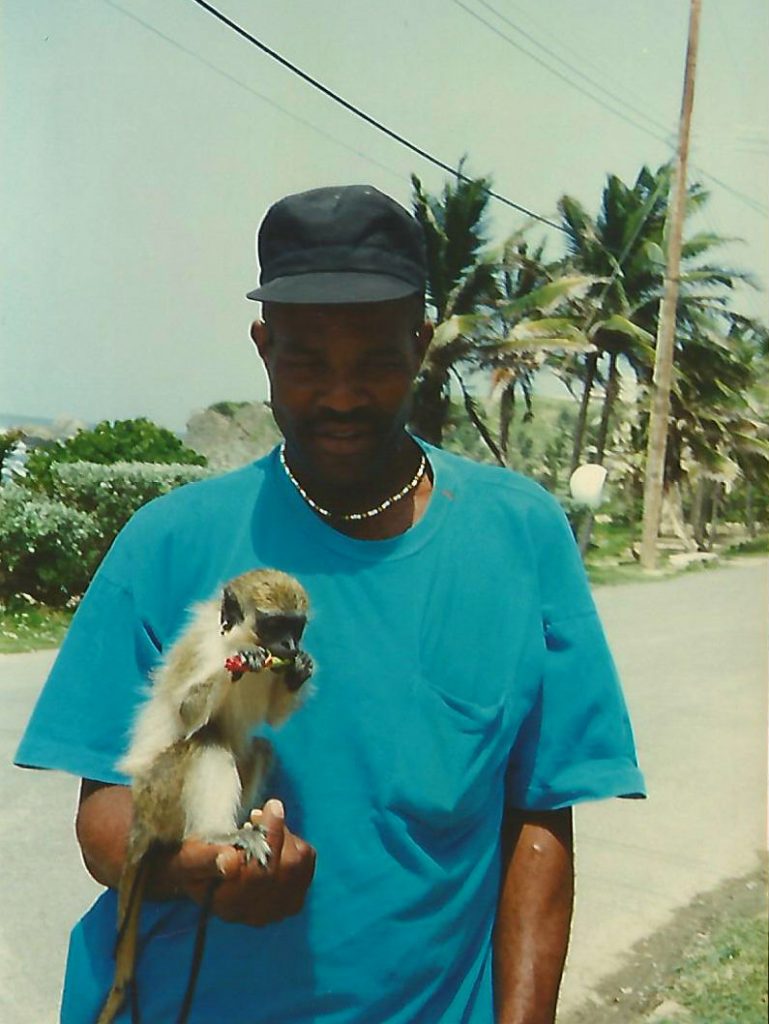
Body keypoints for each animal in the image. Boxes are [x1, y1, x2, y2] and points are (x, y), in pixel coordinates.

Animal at [95, 569, 313, 1024]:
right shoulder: (203, 648)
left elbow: (272, 718)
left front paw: (300, 669)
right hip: (161, 793)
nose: (289, 647)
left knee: (259, 747)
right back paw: (215, 833)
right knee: (209, 740)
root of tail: (141, 815)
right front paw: (242, 664)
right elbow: (188, 714)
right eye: (274, 626)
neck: (234, 638)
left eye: (296, 627)